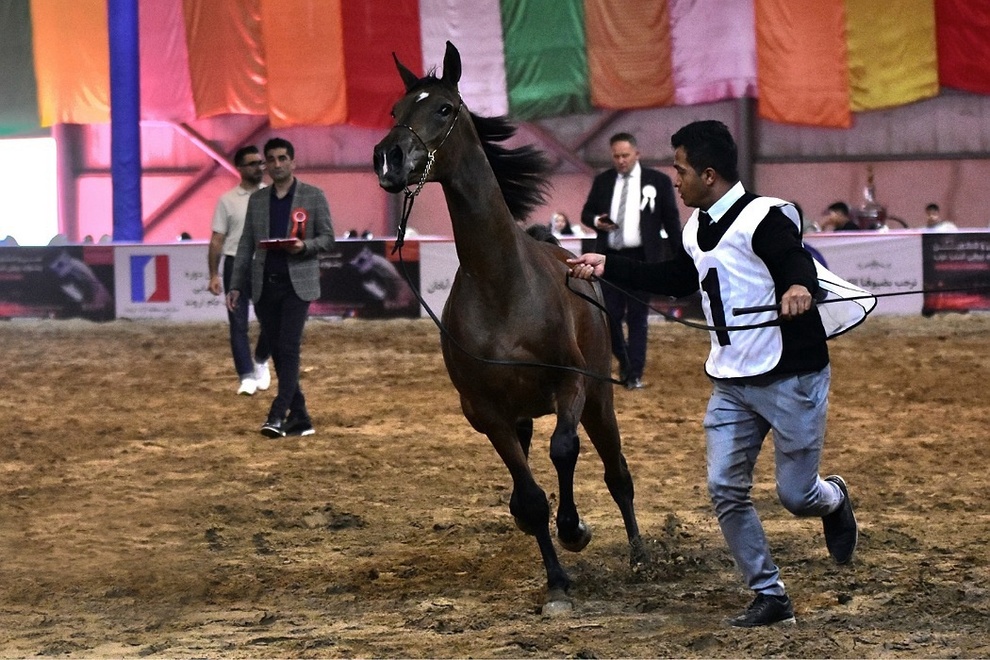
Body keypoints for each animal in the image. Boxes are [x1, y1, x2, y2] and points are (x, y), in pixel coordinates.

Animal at [376, 40, 648, 608]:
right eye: (394, 110)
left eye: (444, 108)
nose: (388, 158)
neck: (503, 285)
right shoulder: (487, 413)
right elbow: (528, 497)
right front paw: (557, 582)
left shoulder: (571, 385)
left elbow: (564, 452)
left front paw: (575, 530)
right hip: (523, 414)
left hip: (600, 399)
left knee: (616, 474)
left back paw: (639, 554)